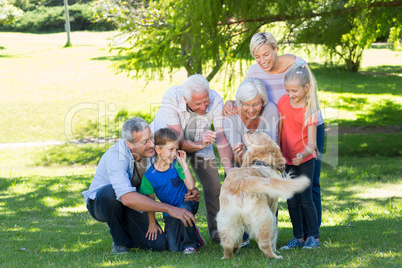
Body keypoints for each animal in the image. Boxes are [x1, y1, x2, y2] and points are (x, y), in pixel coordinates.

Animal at [218, 132, 310, 260]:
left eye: (255, 134)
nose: (248, 131)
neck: (262, 163)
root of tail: (242, 182)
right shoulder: (273, 208)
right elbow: (274, 236)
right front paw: (276, 249)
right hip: (265, 218)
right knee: (264, 244)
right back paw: (275, 256)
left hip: (226, 220)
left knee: (227, 243)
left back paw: (228, 256)